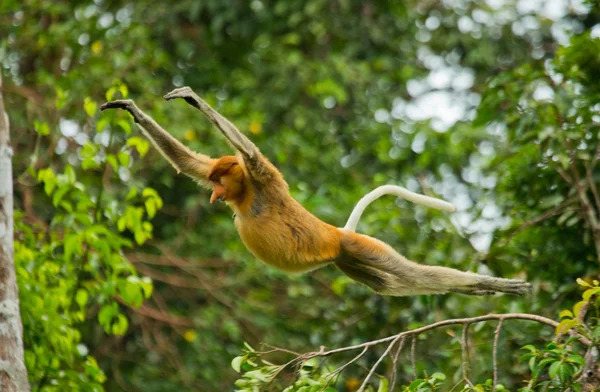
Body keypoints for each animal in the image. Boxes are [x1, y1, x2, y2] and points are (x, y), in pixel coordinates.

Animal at [101, 88, 532, 298]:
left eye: (223, 181)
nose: (215, 195)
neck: (247, 195)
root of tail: (337, 234)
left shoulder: (268, 180)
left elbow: (251, 153)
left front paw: (192, 97)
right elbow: (190, 163)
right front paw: (130, 108)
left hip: (358, 246)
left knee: (409, 272)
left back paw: (494, 285)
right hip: (346, 258)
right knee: (389, 284)